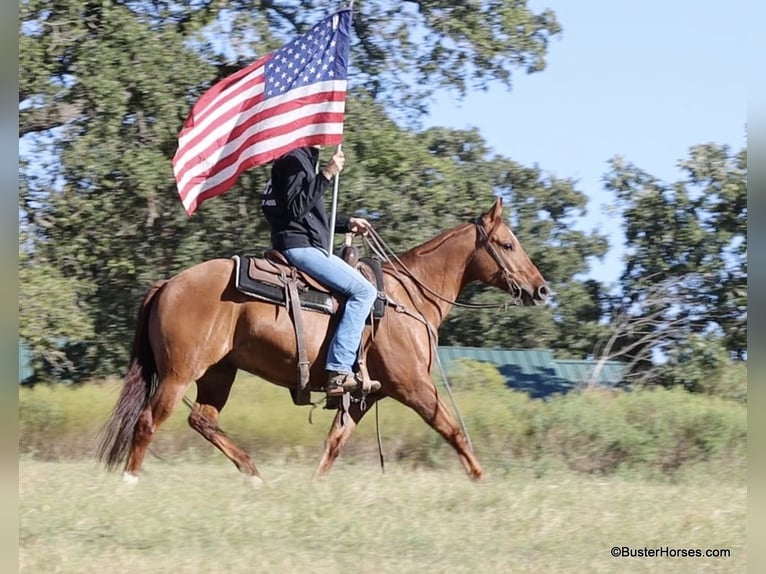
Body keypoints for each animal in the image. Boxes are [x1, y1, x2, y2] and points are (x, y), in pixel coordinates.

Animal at [97, 197, 549, 483]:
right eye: (507, 244)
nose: (541, 290)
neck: (409, 297)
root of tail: (168, 283)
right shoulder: (414, 385)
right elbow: (452, 428)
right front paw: (481, 477)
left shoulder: (365, 394)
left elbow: (335, 442)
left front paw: (314, 486)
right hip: (179, 373)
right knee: (149, 421)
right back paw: (130, 481)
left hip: (219, 372)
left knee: (203, 420)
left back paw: (254, 475)